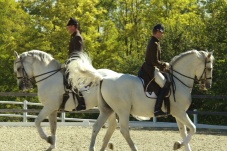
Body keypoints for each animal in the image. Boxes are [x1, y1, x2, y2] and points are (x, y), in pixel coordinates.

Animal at [67, 49, 215, 151]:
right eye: (209, 68)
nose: (208, 86)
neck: (178, 81)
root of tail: (103, 78)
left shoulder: (178, 114)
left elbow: (184, 131)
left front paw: (180, 144)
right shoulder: (179, 112)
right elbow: (193, 128)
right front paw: (178, 144)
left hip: (107, 110)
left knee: (98, 127)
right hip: (122, 110)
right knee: (124, 130)